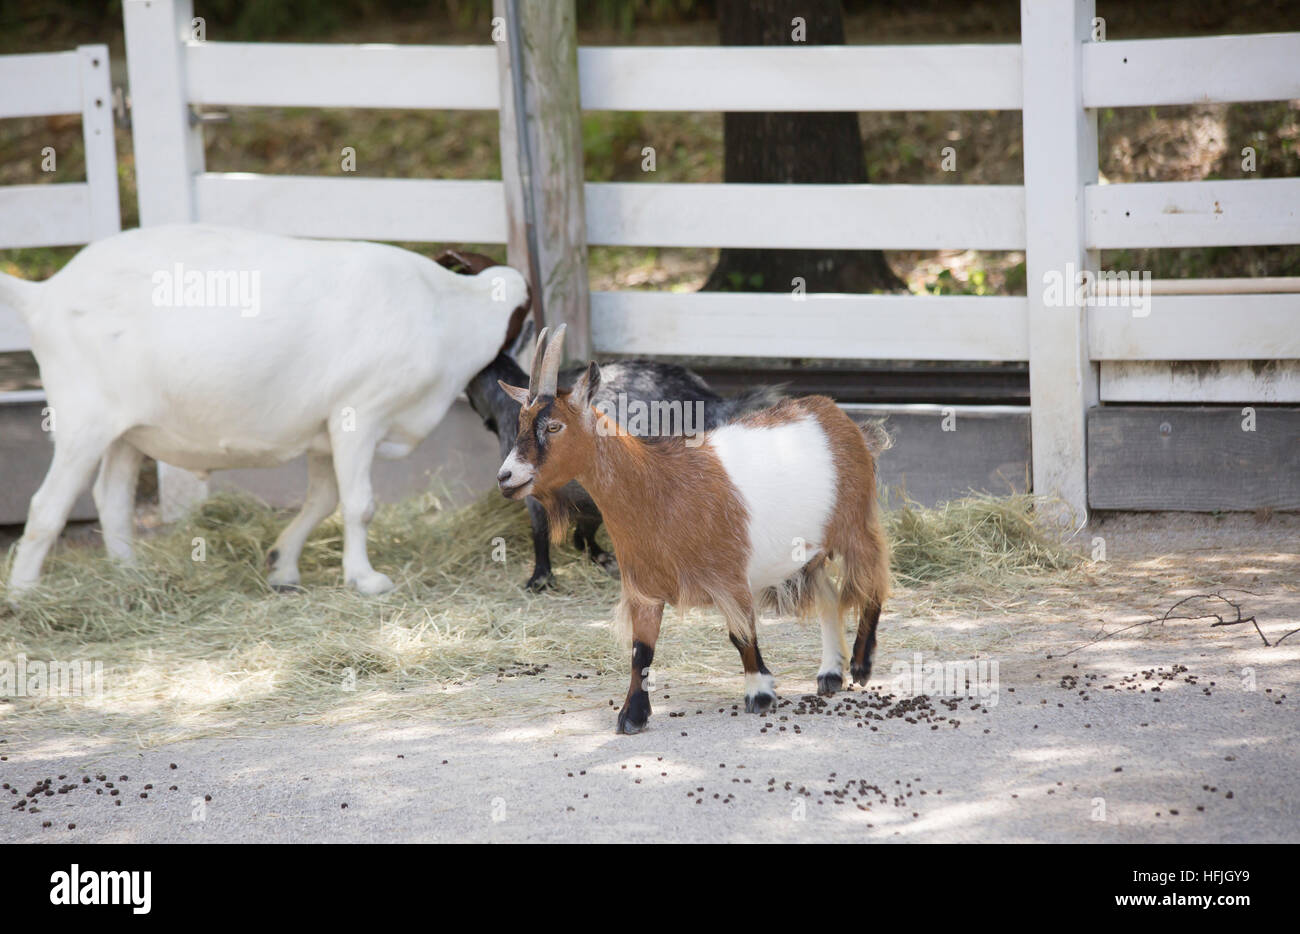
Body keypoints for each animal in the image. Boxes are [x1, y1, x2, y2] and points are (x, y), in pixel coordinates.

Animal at [0, 224, 528, 598]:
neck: (450, 311)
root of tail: (43, 294)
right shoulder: (358, 413)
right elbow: (359, 505)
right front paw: (365, 579)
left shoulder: (324, 431)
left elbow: (323, 500)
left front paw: (282, 567)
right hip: (82, 419)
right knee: (47, 505)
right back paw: (26, 594)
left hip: (127, 429)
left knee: (111, 499)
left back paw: (130, 576)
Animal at [497, 324, 891, 734]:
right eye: (519, 425)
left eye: (554, 426)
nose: (506, 477)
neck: (657, 486)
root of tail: (837, 416)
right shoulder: (644, 588)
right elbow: (642, 651)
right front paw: (632, 715)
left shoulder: (730, 577)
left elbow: (742, 635)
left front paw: (760, 693)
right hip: (808, 551)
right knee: (829, 595)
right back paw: (830, 673)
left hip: (855, 523)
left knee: (874, 580)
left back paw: (861, 663)